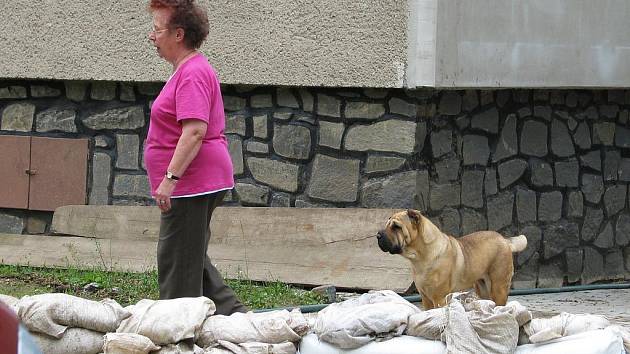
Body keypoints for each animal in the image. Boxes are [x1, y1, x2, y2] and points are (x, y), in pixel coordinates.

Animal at [378, 209, 532, 308]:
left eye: (396, 227)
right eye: (387, 225)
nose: (378, 235)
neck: (420, 257)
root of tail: (505, 240)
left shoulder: (439, 298)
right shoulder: (425, 298)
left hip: (498, 286)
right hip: (482, 288)